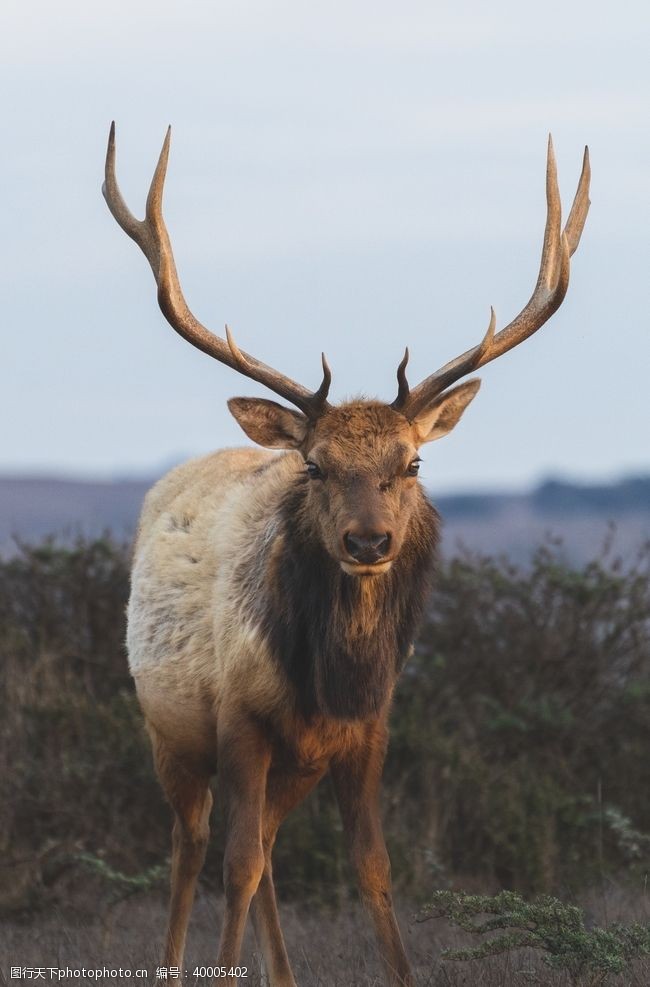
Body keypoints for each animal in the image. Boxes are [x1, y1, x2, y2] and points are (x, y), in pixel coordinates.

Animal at [101, 125, 588, 987]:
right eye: (316, 465)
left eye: (413, 461)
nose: (369, 541)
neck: (330, 679)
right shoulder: (241, 720)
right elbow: (233, 863)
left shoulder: (366, 732)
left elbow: (371, 865)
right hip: (172, 732)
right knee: (195, 845)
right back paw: (175, 962)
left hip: (293, 765)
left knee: (263, 847)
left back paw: (283, 973)